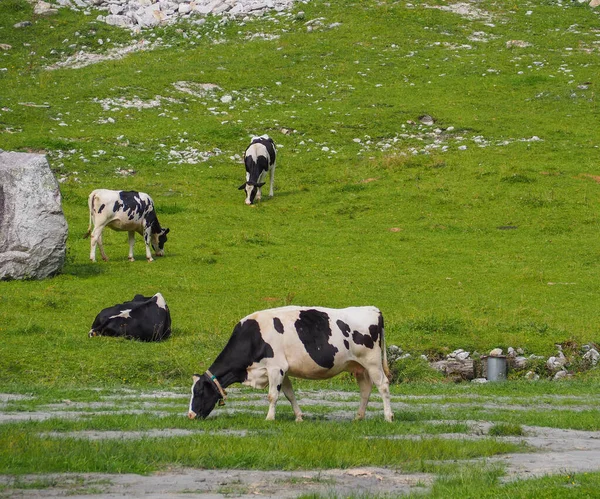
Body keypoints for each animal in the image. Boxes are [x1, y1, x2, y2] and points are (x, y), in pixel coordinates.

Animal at [188, 306, 394, 424]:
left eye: (198, 391)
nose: (190, 415)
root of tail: (373, 309)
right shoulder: (283, 371)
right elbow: (289, 395)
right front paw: (299, 417)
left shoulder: (275, 367)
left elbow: (272, 396)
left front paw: (269, 418)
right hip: (359, 366)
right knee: (366, 390)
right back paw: (359, 417)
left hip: (372, 362)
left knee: (383, 385)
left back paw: (388, 417)